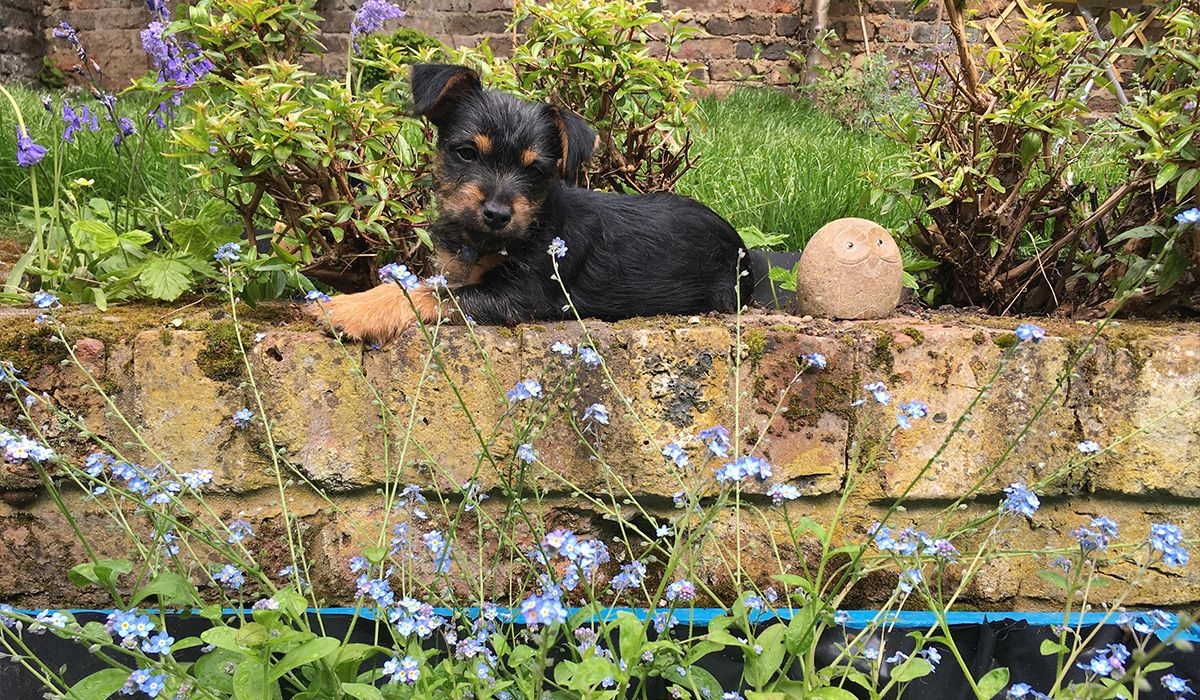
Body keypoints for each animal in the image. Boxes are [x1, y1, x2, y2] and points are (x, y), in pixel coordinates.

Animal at [316, 64, 748, 343]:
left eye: (536, 170)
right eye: (467, 153)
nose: (496, 214)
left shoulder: (521, 295)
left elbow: (429, 294)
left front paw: (347, 310)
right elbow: (424, 285)